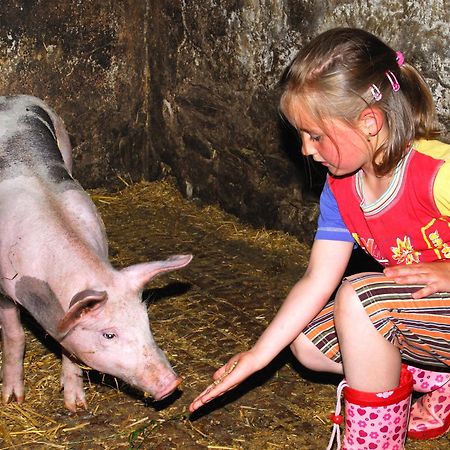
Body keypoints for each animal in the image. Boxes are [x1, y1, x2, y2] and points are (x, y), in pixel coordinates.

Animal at [0, 95, 192, 412]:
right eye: (108, 334)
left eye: (146, 321)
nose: (172, 384)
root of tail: (11, 97)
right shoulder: (3, 288)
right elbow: (15, 336)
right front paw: (13, 399)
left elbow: (70, 349)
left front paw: (76, 406)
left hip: (65, 141)